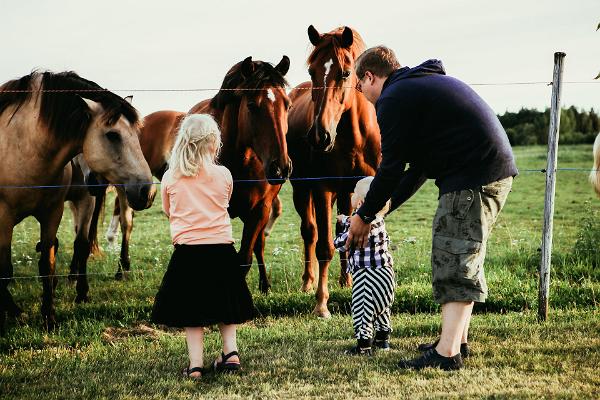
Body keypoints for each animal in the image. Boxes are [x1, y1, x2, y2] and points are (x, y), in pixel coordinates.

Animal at [0, 71, 155, 332]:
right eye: (112, 134)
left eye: (137, 135)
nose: (148, 191)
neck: (22, 149)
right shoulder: (4, 217)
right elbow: (5, 270)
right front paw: (13, 311)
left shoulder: (60, 209)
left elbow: (54, 259)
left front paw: (52, 314)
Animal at [284, 26, 380, 318]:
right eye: (311, 71)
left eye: (345, 72)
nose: (319, 136)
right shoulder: (322, 189)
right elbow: (324, 245)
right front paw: (321, 303)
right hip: (302, 191)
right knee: (310, 232)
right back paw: (308, 282)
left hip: (347, 192)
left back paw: (346, 279)